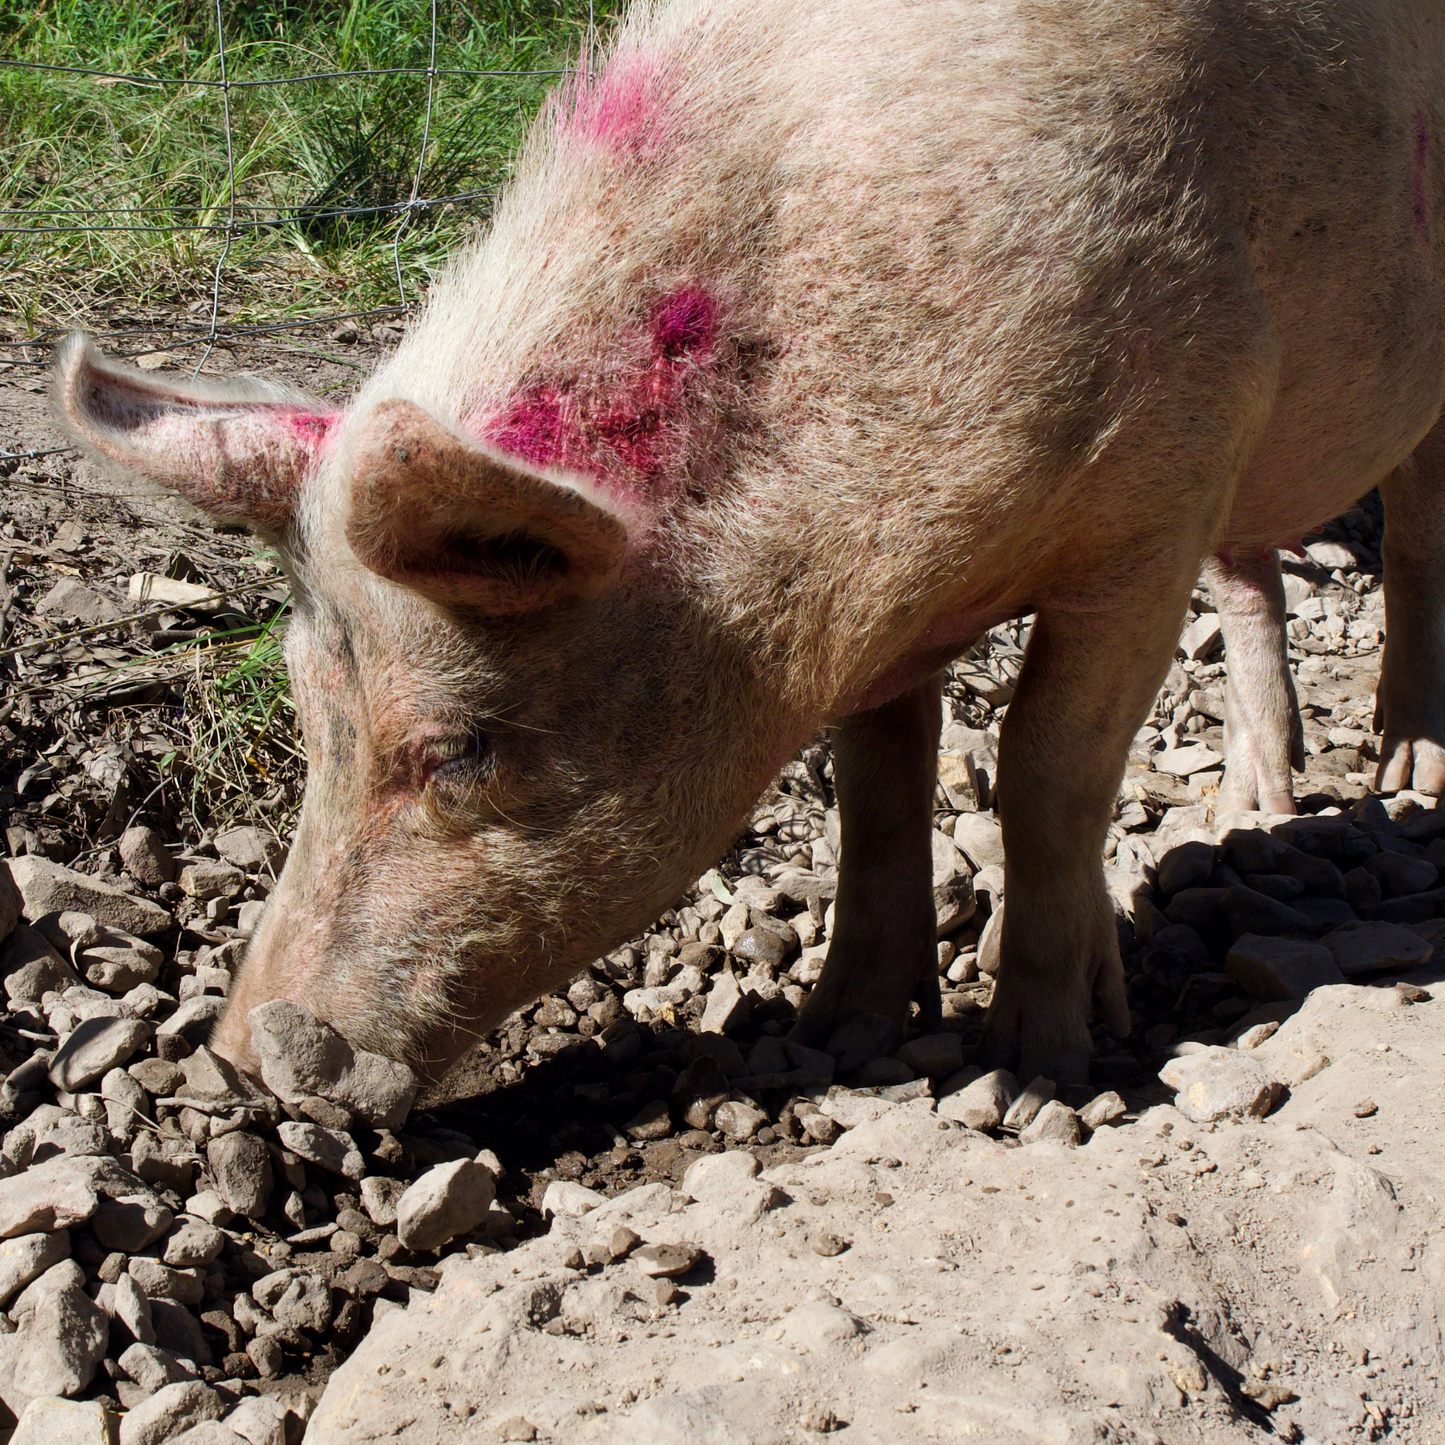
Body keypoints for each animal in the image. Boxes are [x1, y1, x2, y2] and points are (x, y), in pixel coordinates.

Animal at [55, 0, 1444, 1085]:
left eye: (459, 747)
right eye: (307, 718)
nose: (246, 1059)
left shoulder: (1155, 495)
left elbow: (1045, 770)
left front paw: (1043, 1068)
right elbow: (880, 784)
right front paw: (847, 1031)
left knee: (1416, 533)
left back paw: (1402, 777)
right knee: (1255, 571)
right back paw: (1261, 798)